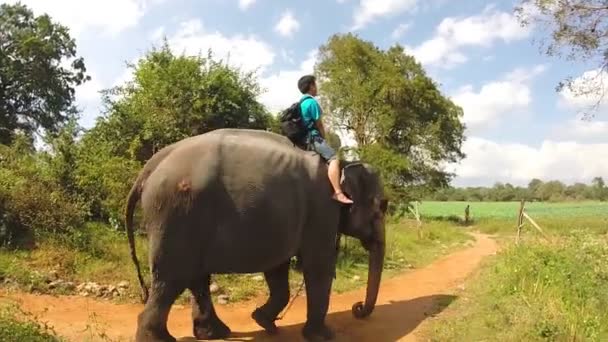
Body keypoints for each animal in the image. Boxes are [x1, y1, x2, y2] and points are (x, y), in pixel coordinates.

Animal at [125, 128, 388, 342]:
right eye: (383, 206)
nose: (358, 308)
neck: (343, 165)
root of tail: (151, 166)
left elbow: (277, 269)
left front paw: (263, 321)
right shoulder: (322, 209)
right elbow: (318, 266)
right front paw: (323, 336)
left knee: (194, 277)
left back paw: (215, 333)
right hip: (176, 213)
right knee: (171, 279)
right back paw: (161, 339)